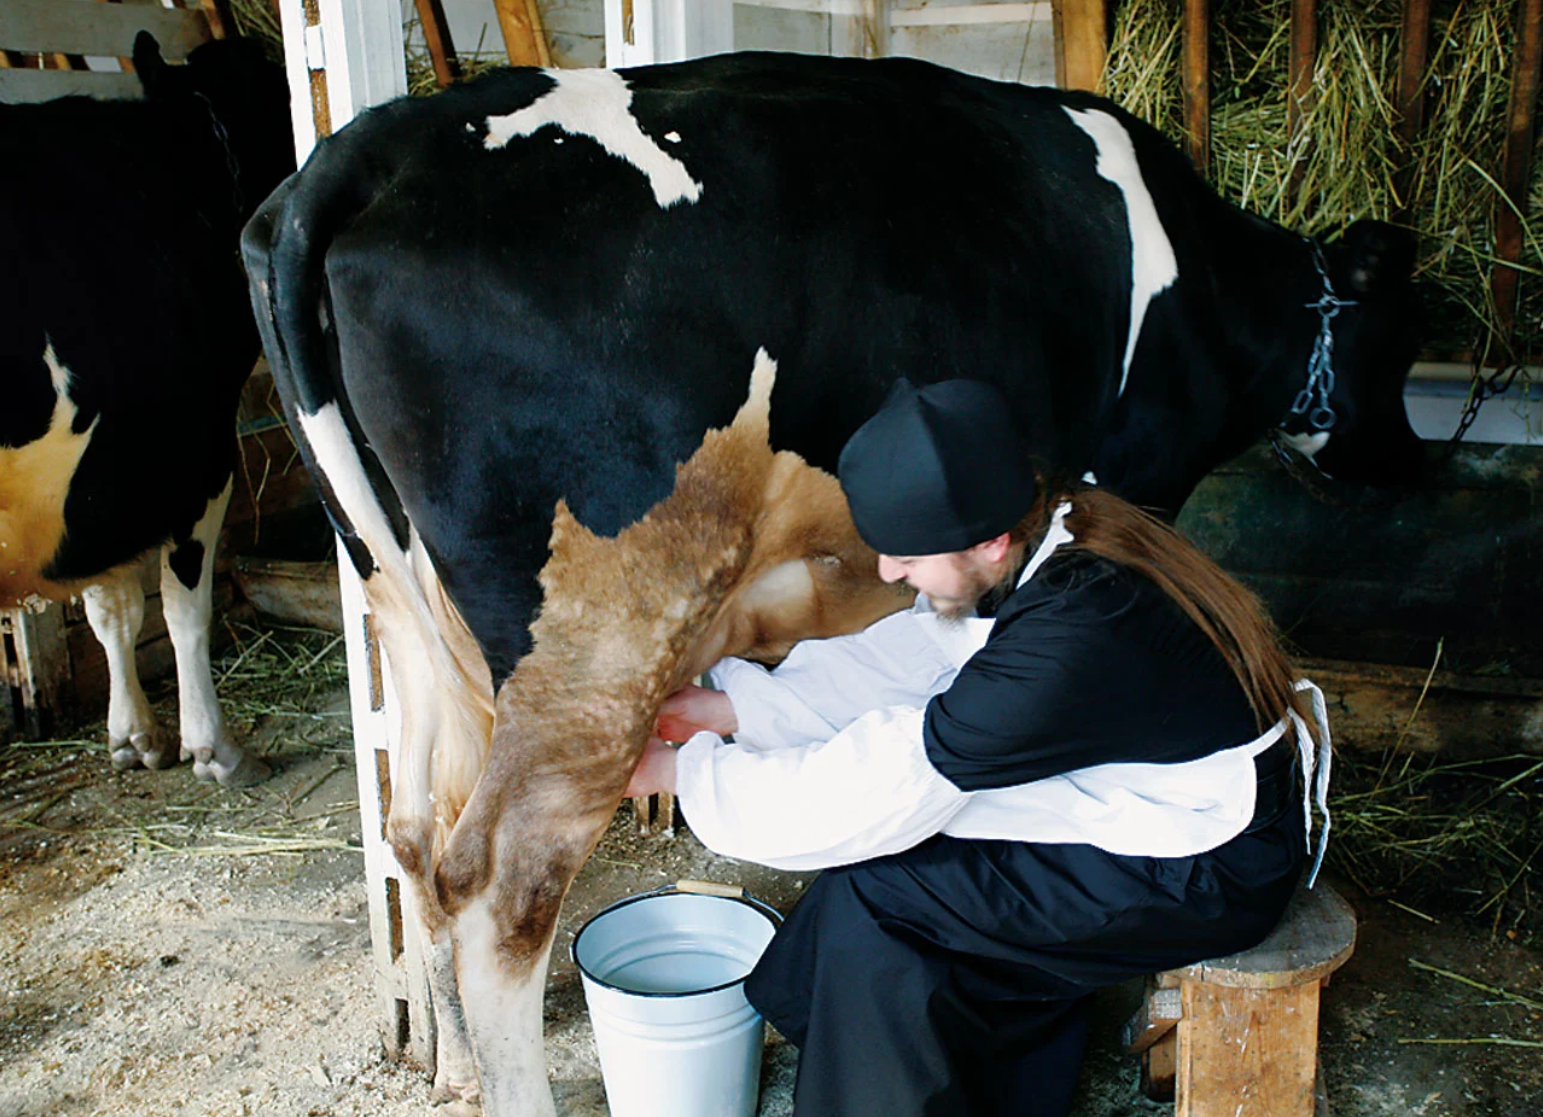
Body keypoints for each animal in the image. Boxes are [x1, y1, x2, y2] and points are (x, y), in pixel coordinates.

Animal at [0, 34, 291, 786]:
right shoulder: (195, 460)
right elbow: (183, 604)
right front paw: (213, 747)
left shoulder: (106, 481)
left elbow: (112, 609)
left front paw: (133, 733)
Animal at [243, 50, 1419, 1110]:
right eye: (1399, 345)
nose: (1408, 459)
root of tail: (364, 151)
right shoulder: (1134, 483)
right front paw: (1145, 1007)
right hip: (594, 629)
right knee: (499, 885)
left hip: (401, 599)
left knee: (416, 829)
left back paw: (446, 1063)